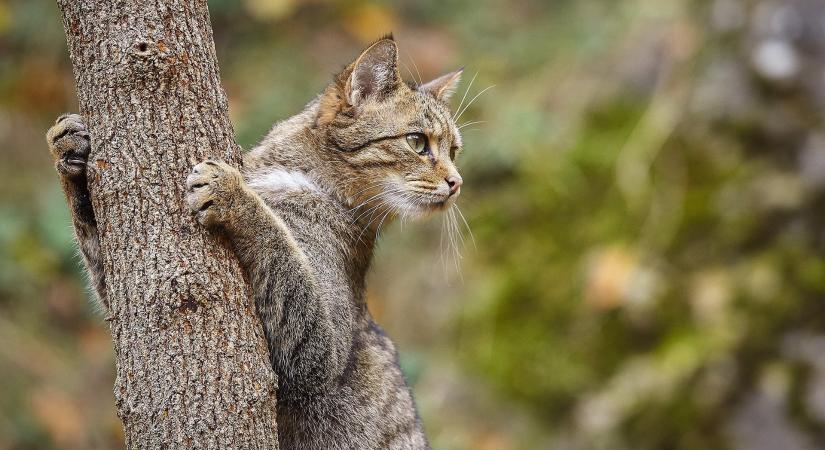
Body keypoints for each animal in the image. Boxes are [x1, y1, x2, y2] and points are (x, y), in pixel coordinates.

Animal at [48, 36, 464, 450]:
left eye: (453, 151)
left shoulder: (318, 356)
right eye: (418, 142)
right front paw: (70, 148)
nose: (457, 181)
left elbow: (277, 240)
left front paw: (233, 193)